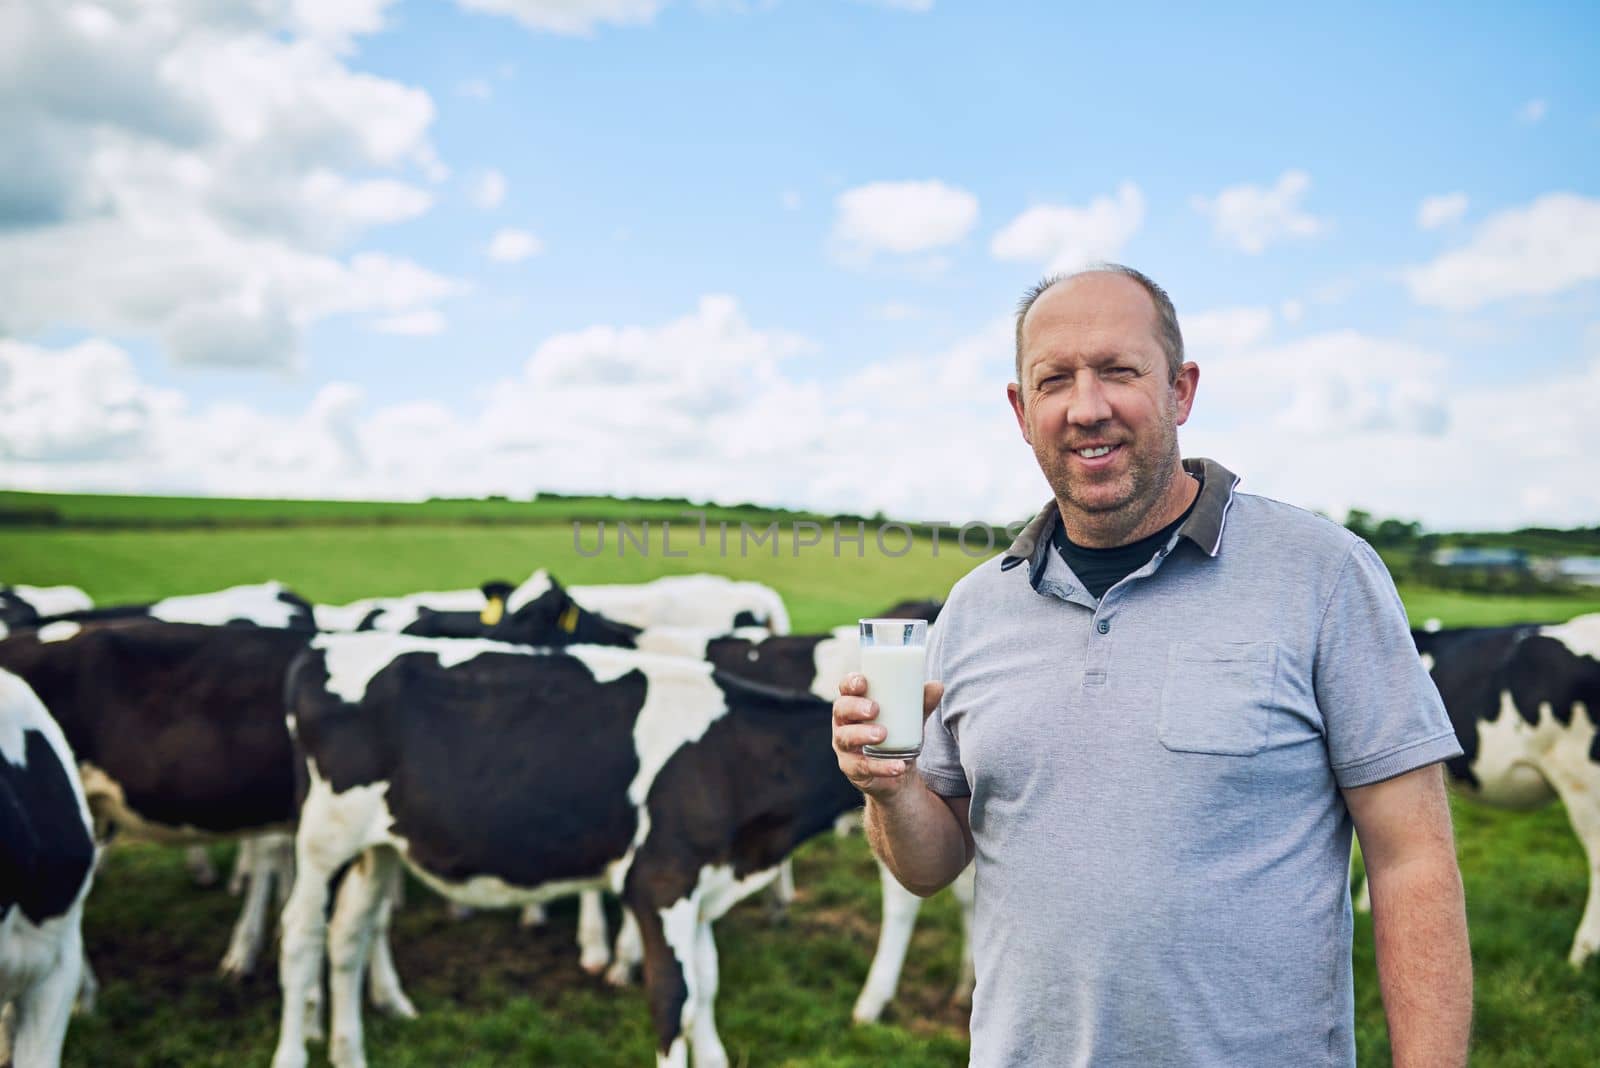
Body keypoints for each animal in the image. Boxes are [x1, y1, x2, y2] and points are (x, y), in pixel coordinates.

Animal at [278, 633, 864, 1068]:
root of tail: (321, 647)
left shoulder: (704, 886)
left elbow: (706, 990)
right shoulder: (660, 881)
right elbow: (673, 999)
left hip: (377, 846)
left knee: (347, 936)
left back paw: (349, 1053)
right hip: (320, 839)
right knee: (301, 937)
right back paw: (292, 1053)